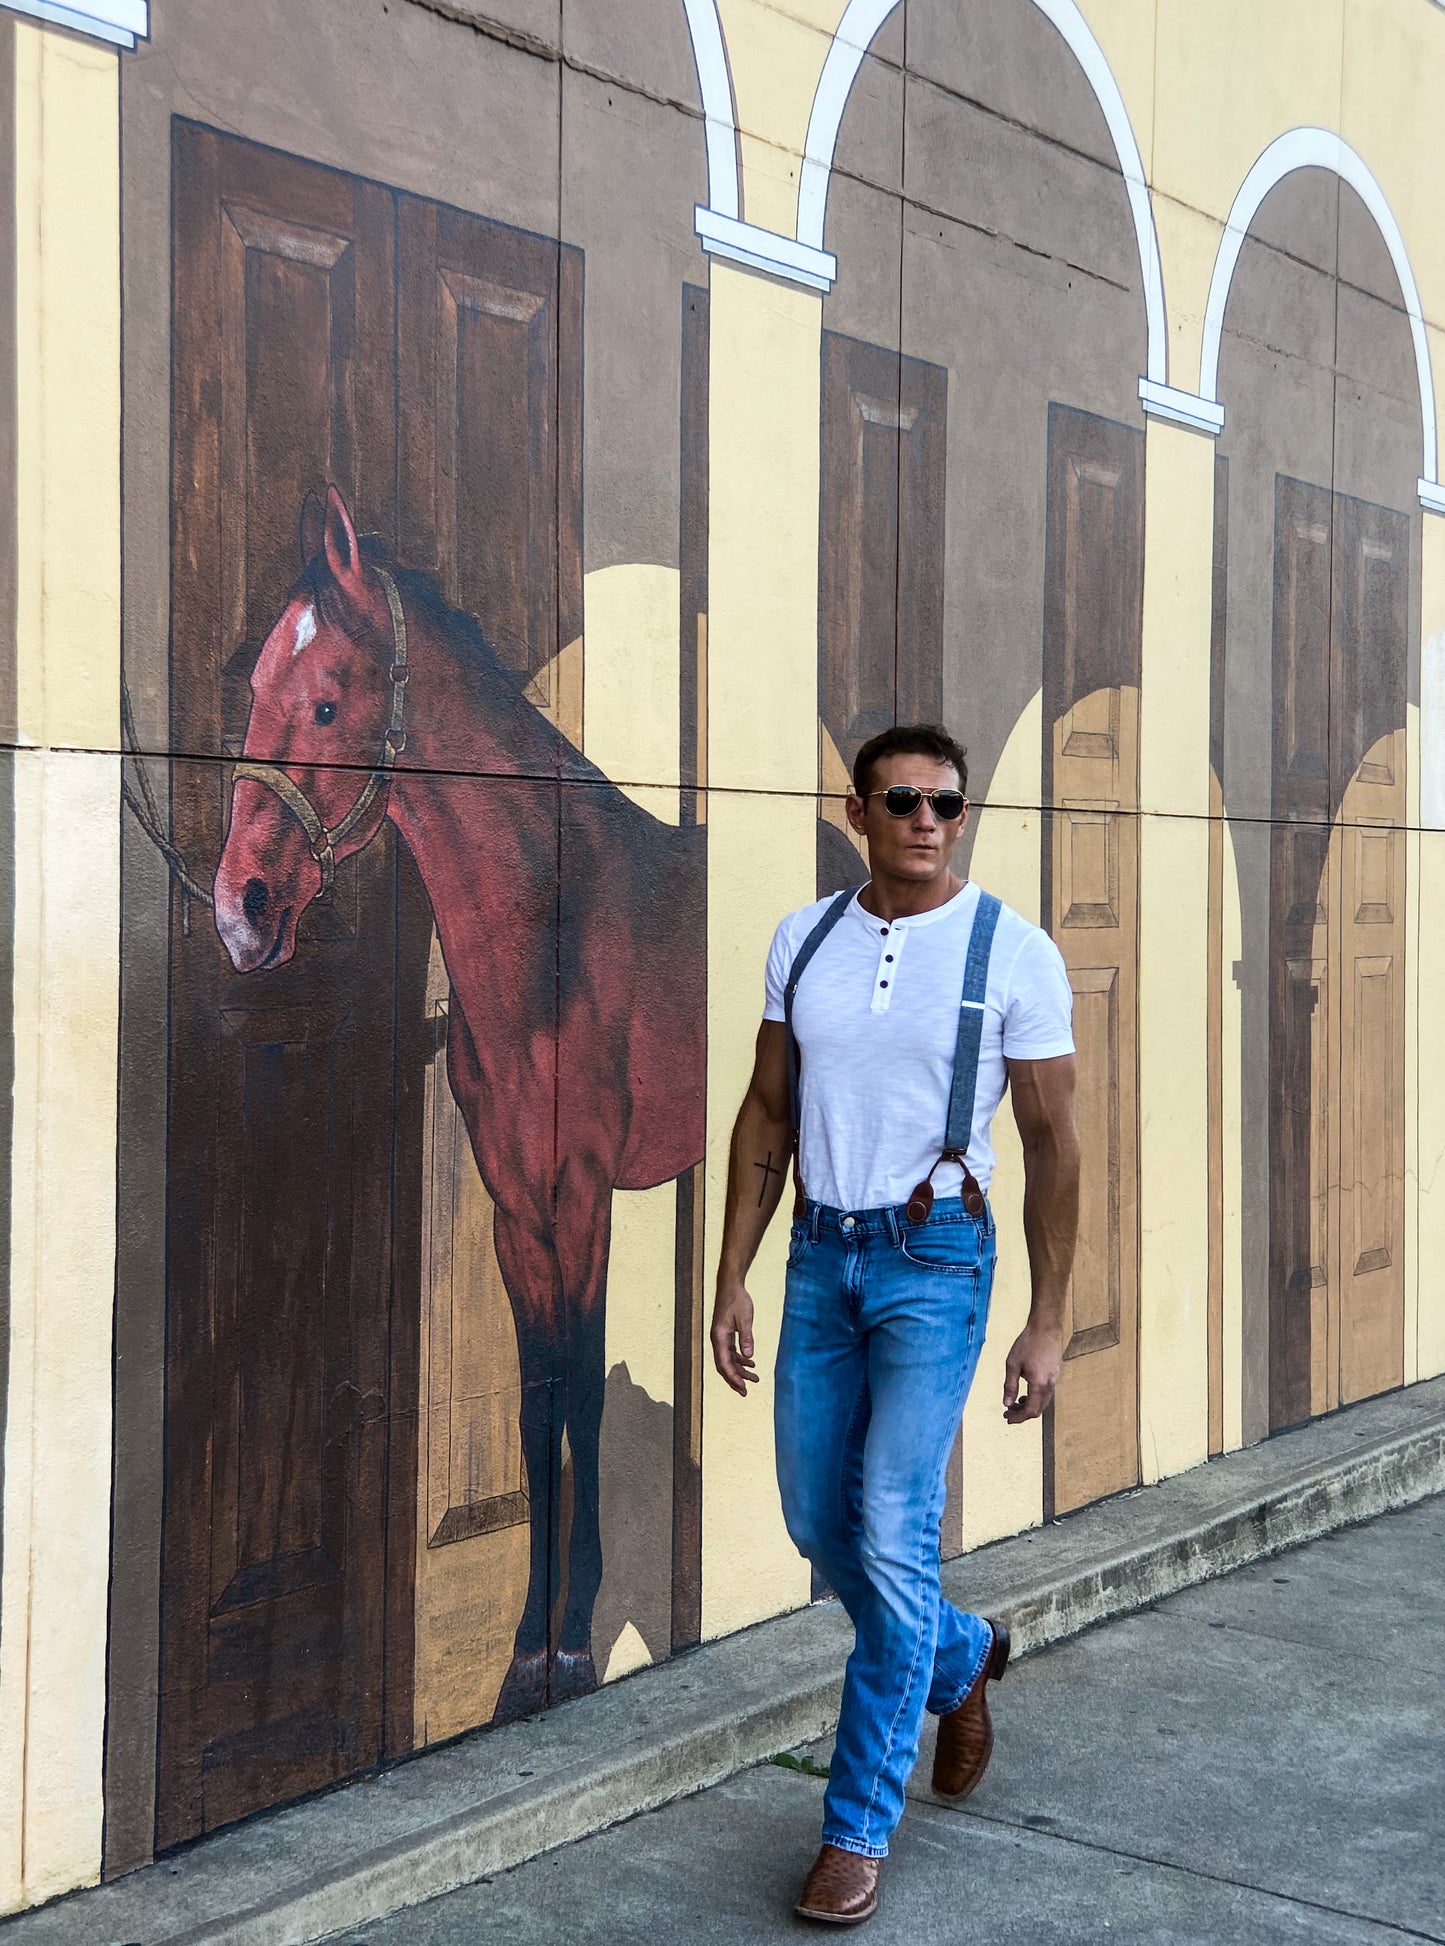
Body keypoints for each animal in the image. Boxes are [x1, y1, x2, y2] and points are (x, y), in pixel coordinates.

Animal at [214, 486, 707, 1720]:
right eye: (252, 694)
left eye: (326, 700)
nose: (241, 907)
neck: (557, 932)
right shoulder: (514, 1206)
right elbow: (536, 1402)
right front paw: (530, 1647)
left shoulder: (581, 1199)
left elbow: (579, 1390)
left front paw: (571, 1641)